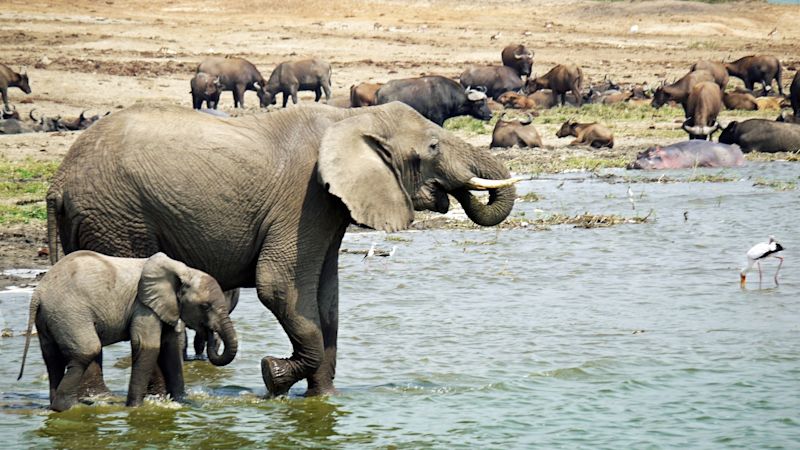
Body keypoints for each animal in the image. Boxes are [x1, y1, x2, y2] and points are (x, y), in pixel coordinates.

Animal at [18, 250, 238, 412]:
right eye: (205, 306)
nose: (210, 334)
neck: (183, 270)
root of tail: (38, 293)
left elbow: (169, 348)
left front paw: (182, 403)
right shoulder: (143, 306)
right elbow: (147, 346)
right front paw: (135, 409)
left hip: (49, 318)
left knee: (52, 358)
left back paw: (57, 406)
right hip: (69, 313)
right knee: (87, 350)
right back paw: (69, 408)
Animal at [47, 103, 520, 398]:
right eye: (433, 148)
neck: (350, 118)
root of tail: (58, 181)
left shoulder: (328, 207)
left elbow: (326, 300)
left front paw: (325, 400)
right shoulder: (305, 198)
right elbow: (279, 287)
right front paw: (272, 377)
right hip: (119, 218)